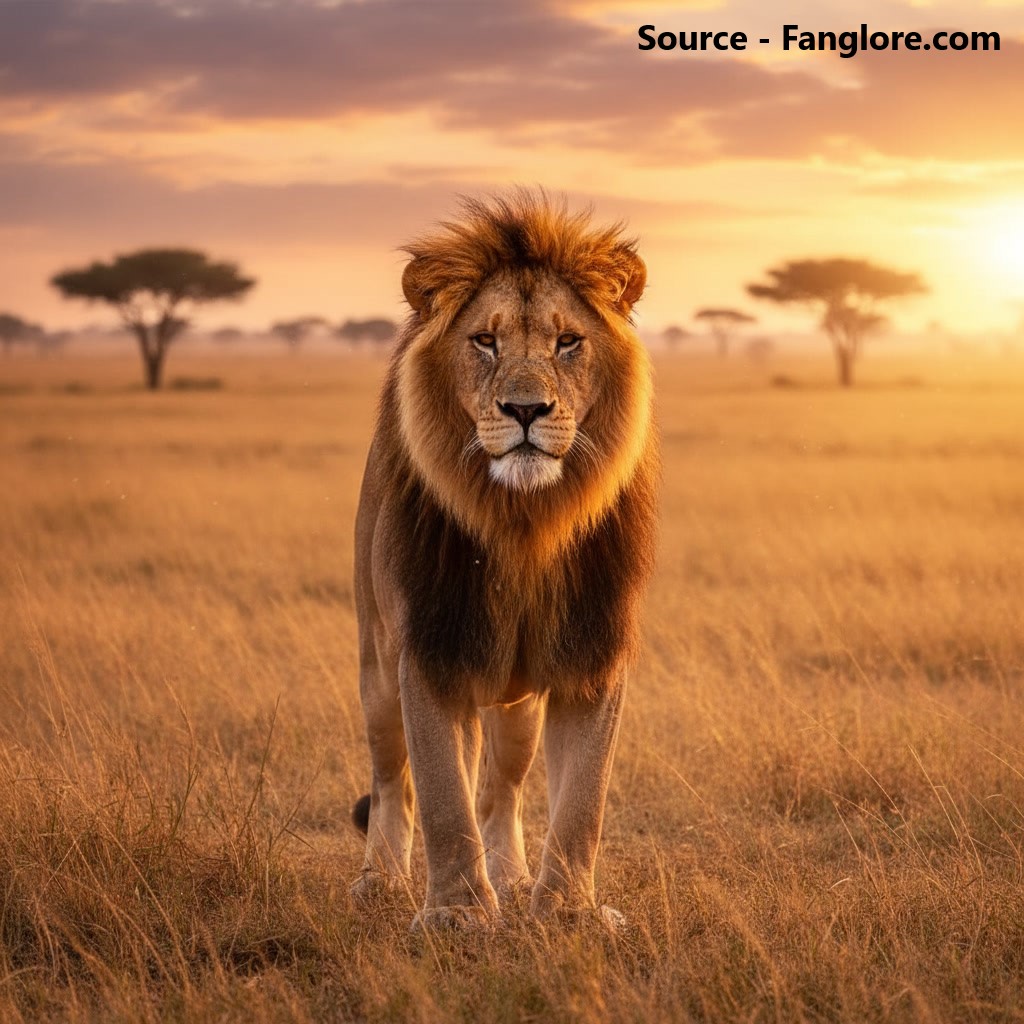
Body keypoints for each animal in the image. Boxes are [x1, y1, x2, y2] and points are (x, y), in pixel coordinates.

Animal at [350, 190, 658, 930]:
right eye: (484, 341)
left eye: (567, 341)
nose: (525, 409)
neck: (524, 525)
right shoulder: (430, 650)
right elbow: (441, 798)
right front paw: (458, 917)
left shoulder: (593, 655)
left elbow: (581, 804)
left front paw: (570, 914)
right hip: (376, 668)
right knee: (392, 779)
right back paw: (381, 881)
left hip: (517, 700)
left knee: (501, 789)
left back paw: (513, 879)